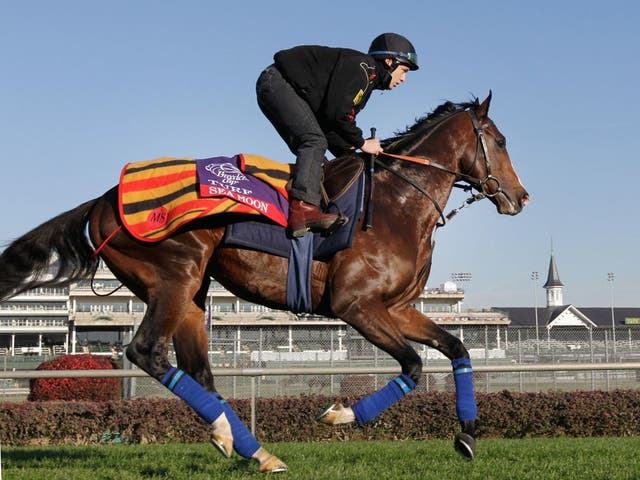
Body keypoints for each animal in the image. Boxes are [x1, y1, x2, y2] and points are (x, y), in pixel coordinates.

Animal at [0, 93, 528, 472]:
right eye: (501, 141)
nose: (521, 197)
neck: (394, 202)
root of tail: (104, 200)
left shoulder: (396, 307)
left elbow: (457, 348)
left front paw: (467, 434)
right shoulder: (356, 306)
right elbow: (415, 366)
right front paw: (341, 414)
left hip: (193, 295)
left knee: (199, 371)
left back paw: (244, 445)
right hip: (175, 277)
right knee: (145, 352)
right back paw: (241, 441)